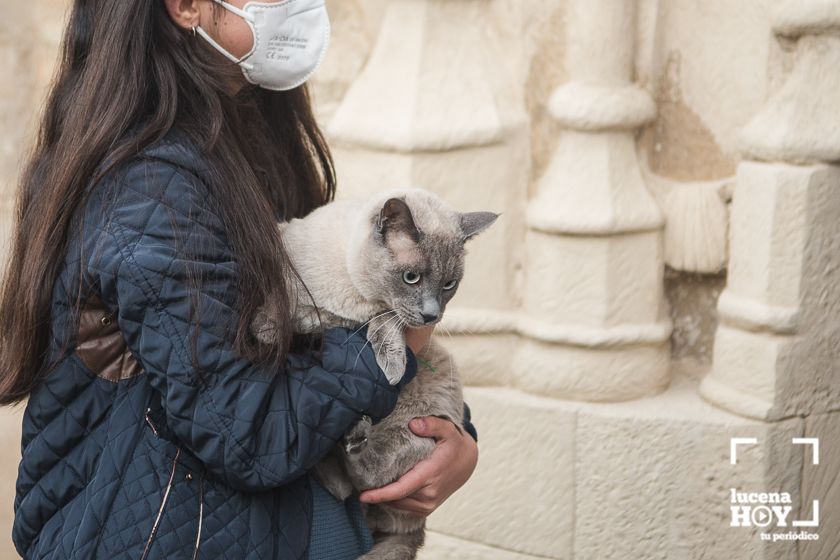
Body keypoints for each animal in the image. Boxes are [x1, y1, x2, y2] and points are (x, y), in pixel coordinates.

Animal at [253, 189, 496, 560]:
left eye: (449, 285)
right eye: (412, 277)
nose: (431, 316)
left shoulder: (380, 316)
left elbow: (383, 325)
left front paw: (392, 369)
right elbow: (292, 309)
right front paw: (268, 326)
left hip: (419, 420)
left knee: (361, 482)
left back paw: (353, 436)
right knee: (344, 487)